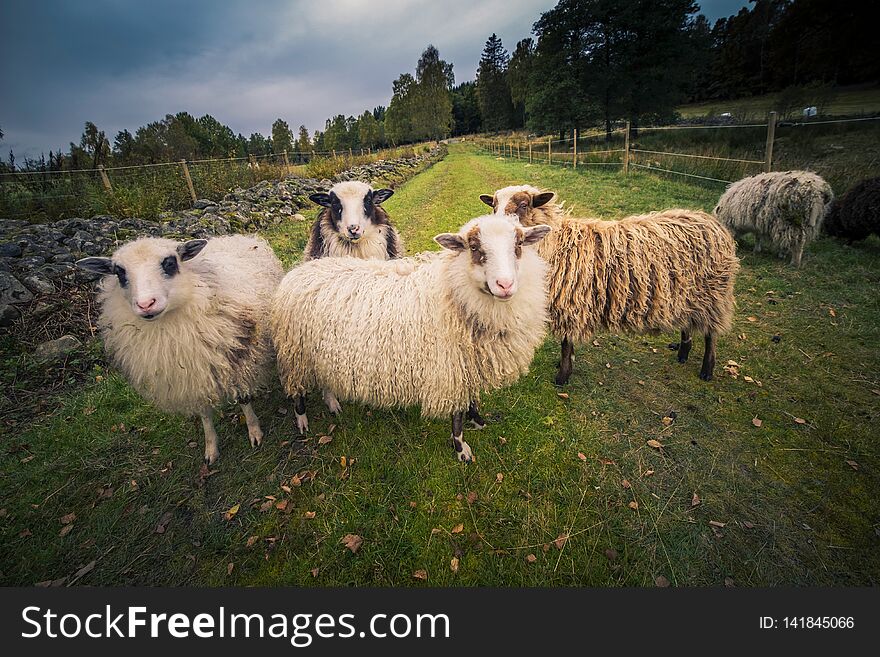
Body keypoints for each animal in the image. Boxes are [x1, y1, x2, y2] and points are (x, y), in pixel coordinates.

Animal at [77, 233, 282, 464]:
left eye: (169, 262)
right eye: (119, 272)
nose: (146, 304)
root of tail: (232, 236)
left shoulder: (240, 364)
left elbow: (244, 400)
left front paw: (254, 432)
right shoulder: (191, 377)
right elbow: (204, 414)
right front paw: (211, 449)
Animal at [272, 214, 552, 462]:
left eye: (518, 245)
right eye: (474, 247)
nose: (505, 285)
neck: (453, 292)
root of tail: (299, 271)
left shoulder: (469, 366)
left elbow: (471, 399)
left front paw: (478, 420)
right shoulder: (449, 370)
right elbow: (457, 417)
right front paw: (461, 449)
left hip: (320, 351)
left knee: (325, 380)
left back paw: (332, 404)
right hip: (295, 353)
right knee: (297, 391)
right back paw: (302, 420)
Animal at [484, 186, 740, 384]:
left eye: (523, 205)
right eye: (493, 206)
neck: (557, 243)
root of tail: (712, 222)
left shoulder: (572, 302)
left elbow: (566, 343)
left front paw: (563, 376)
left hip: (713, 292)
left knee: (711, 334)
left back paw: (707, 370)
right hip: (687, 291)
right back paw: (683, 352)